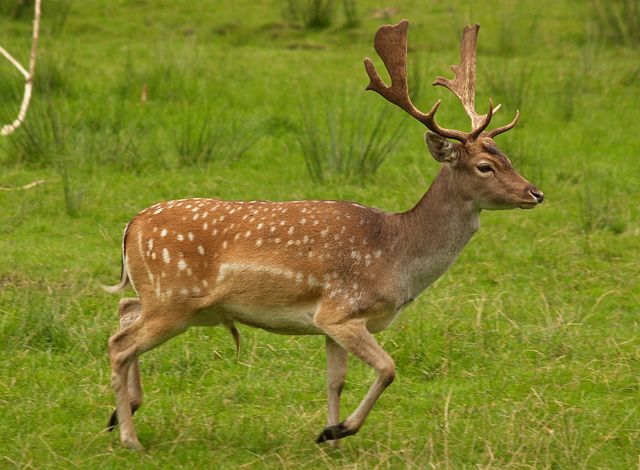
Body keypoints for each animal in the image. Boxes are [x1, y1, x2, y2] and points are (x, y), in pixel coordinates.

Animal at [106, 19, 544, 452]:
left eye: (508, 157)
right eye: (485, 166)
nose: (535, 193)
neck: (397, 257)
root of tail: (131, 226)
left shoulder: (332, 324)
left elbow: (335, 381)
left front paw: (329, 438)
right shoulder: (342, 310)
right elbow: (388, 369)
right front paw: (339, 430)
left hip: (168, 299)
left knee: (125, 310)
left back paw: (119, 413)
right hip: (173, 299)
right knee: (120, 344)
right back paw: (129, 437)